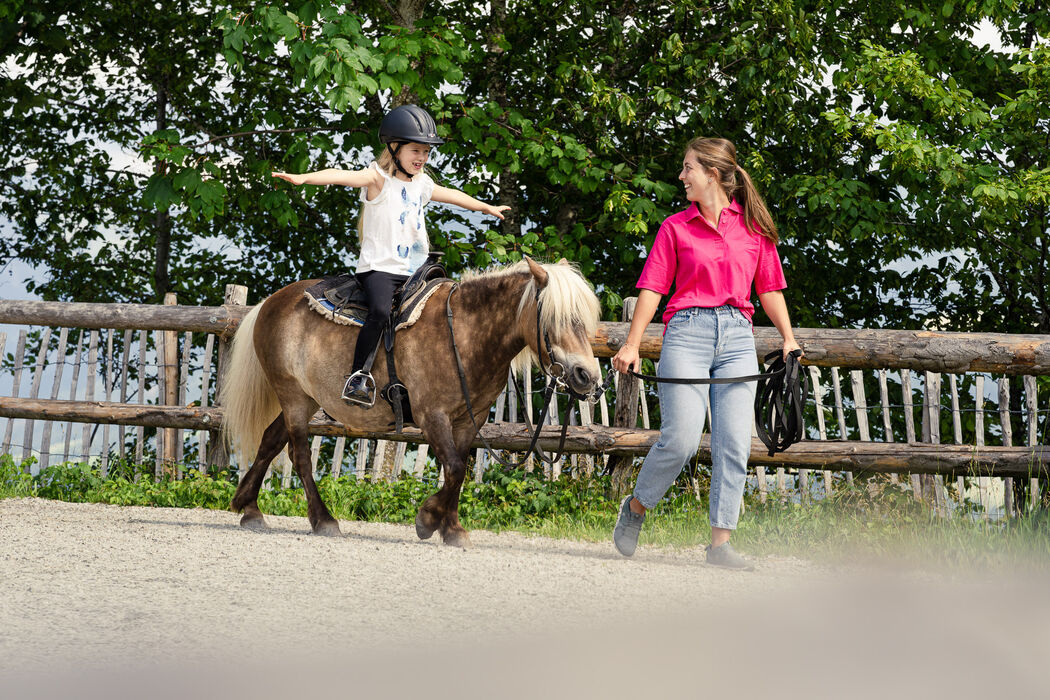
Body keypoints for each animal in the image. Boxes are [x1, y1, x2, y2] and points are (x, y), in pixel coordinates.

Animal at [218, 257, 604, 545]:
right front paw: (428, 520)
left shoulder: (471, 419)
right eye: (556, 319)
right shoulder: (432, 415)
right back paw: (322, 520)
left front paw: (451, 528)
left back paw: (248, 508)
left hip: (306, 398)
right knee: (299, 456)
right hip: (294, 396)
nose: (587, 377)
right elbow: (454, 467)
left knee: (270, 440)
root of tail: (269, 303)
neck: (465, 334)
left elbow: (457, 471)